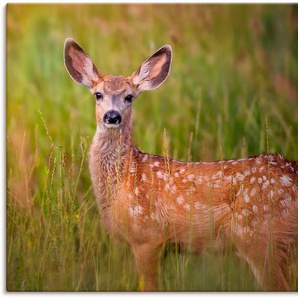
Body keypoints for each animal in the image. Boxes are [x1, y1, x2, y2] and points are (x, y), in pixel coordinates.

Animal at [63, 37, 298, 292]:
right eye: (97, 94)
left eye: (129, 96)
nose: (112, 116)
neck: (124, 178)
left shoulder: (147, 236)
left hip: (258, 235)